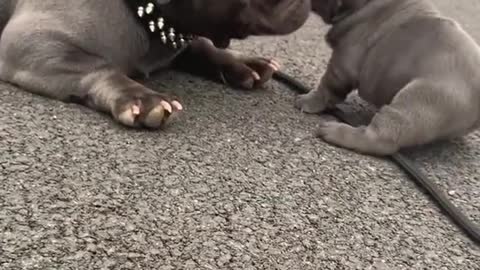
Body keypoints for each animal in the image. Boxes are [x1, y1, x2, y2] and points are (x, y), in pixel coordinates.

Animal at [294, 0, 480, 155]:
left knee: (381, 139)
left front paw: (308, 100)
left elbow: (326, 88)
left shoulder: (342, 65)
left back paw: (336, 132)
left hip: (417, 100)